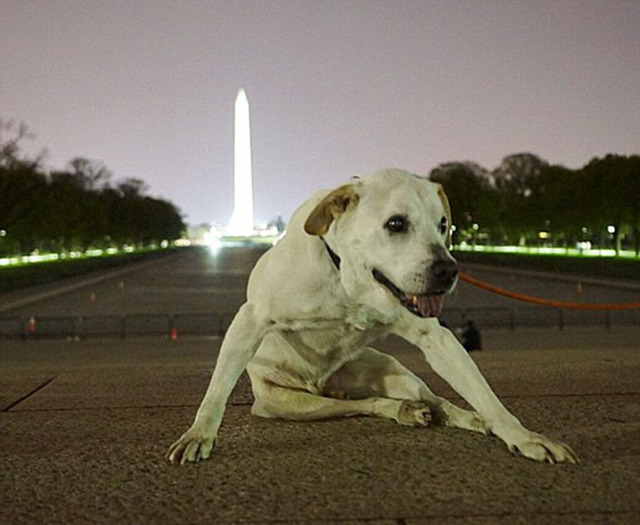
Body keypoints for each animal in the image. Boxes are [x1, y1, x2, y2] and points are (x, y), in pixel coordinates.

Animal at [168, 167, 576, 462]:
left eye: (443, 224)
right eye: (396, 223)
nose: (448, 271)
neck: (349, 279)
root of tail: (326, 382)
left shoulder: (436, 337)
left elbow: (483, 391)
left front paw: (521, 435)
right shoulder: (251, 319)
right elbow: (216, 390)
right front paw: (199, 433)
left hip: (396, 372)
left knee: (434, 399)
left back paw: (457, 416)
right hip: (288, 403)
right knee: (359, 405)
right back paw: (399, 410)